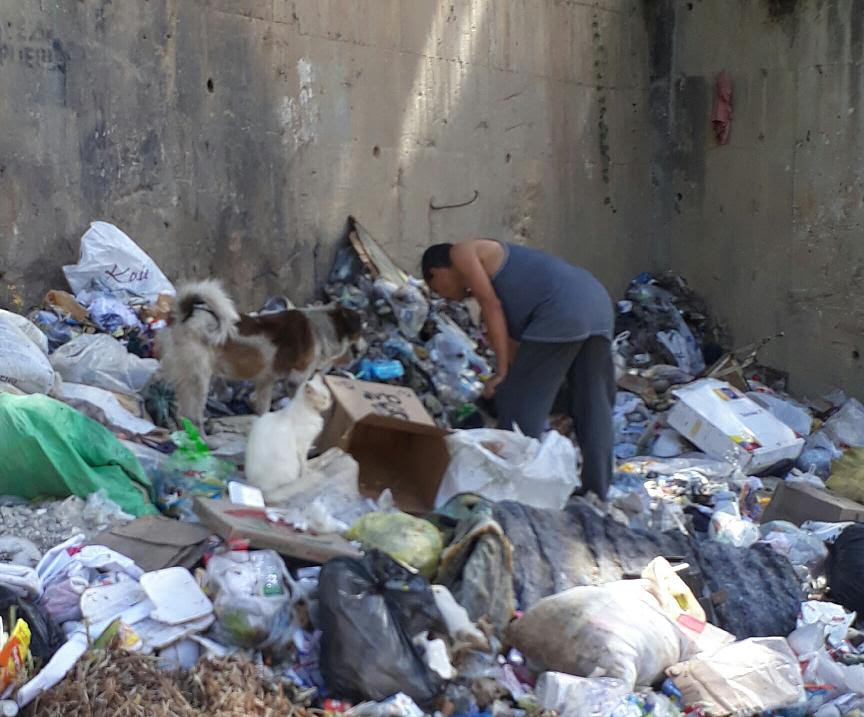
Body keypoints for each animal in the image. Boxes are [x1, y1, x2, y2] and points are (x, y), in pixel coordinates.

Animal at [158, 276, 362, 428]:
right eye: (361, 330)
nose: (361, 350)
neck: (322, 328)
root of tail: (184, 315)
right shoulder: (296, 379)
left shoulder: (266, 381)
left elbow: (263, 407)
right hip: (198, 379)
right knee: (191, 415)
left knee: (180, 411)